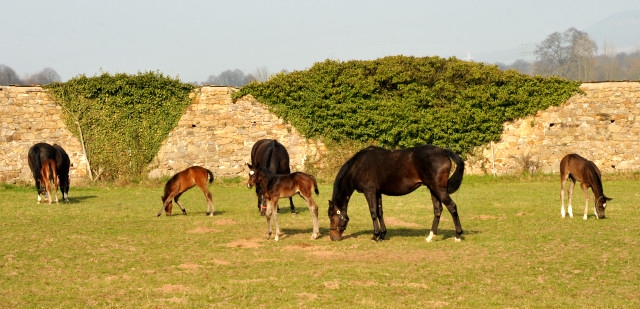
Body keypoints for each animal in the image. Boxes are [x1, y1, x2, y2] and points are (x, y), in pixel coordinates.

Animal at [330, 145, 464, 243]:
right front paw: (382, 236)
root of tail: (443, 151)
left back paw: (458, 236)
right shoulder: (377, 193)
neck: (359, 166)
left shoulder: (369, 192)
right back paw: (430, 237)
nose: (332, 237)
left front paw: (375, 236)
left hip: (439, 189)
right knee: (438, 210)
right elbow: (380, 213)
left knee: (452, 207)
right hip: (433, 189)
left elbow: (373, 213)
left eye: (331, 217)